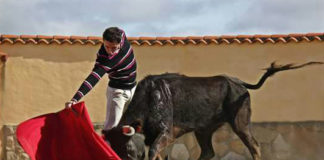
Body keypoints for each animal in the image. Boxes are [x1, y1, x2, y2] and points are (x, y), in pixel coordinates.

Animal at [105, 61, 322, 160]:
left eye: (129, 149)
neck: (150, 97)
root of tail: (238, 82)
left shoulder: (166, 132)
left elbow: (153, 152)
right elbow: (156, 153)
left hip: (240, 122)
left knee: (254, 145)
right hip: (204, 129)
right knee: (208, 152)